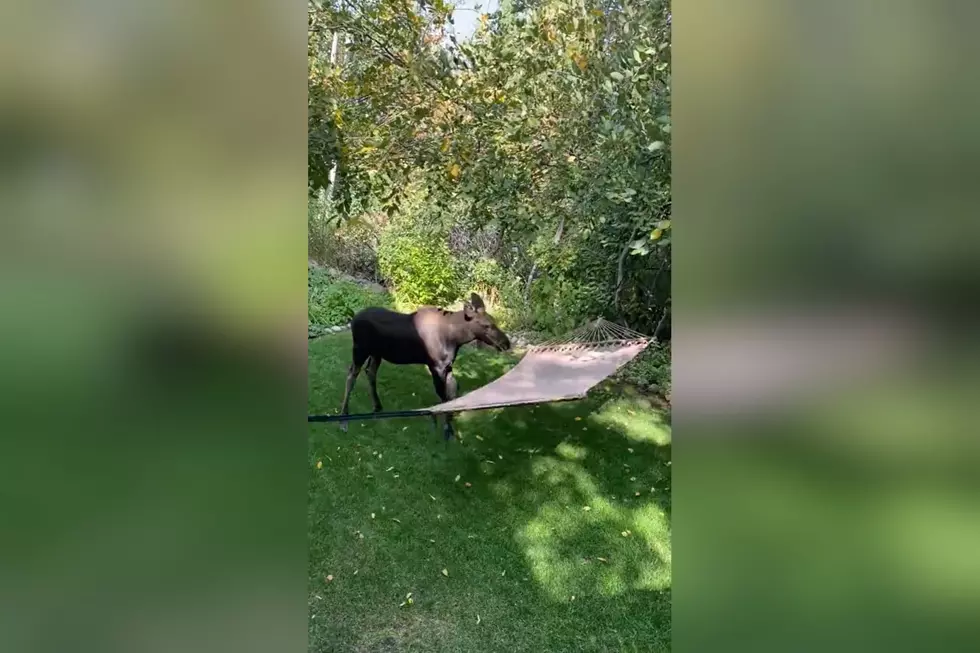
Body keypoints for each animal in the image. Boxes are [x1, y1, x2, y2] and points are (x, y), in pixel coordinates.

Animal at [338, 292, 512, 438]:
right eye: (486, 325)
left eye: (494, 322)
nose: (506, 343)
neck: (456, 338)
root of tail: (353, 319)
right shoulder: (436, 366)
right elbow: (444, 397)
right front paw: (446, 429)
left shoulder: (448, 366)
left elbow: (452, 393)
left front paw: (452, 429)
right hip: (360, 349)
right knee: (351, 375)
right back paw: (343, 418)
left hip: (376, 353)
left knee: (370, 372)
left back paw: (377, 407)